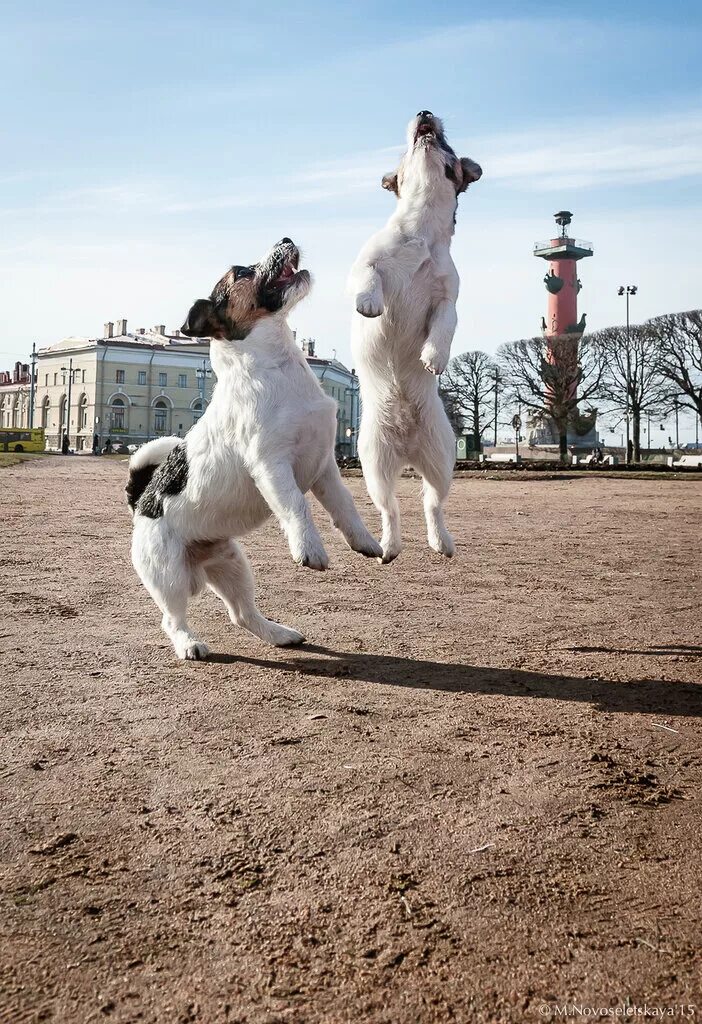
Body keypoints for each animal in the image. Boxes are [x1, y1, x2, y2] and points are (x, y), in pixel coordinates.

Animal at [123, 236, 382, 659]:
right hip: (170, 577)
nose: (286, 238)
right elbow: (297, 506)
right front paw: (309, 549)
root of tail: (141, 502)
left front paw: (365, 542)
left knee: (242, 615)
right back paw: (189, 643)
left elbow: (345, 507)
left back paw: (280, 634)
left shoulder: (325, 467)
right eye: (241, 272)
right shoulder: (272, 465)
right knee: (172, 619)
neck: (278, 367)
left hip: (232, 564)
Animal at [352, 116, 483, 565]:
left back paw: (441, 541)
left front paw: (434, 357)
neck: (420, 233)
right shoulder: (366, 262)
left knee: (432, 503)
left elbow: (444, 327)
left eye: (445, 145)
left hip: (442, 461)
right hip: (374, 466)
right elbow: (369, 277)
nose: (425, 113)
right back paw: (389, 547)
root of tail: (407, 448)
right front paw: (370, 303)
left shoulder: (448, 299)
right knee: (389, 508)